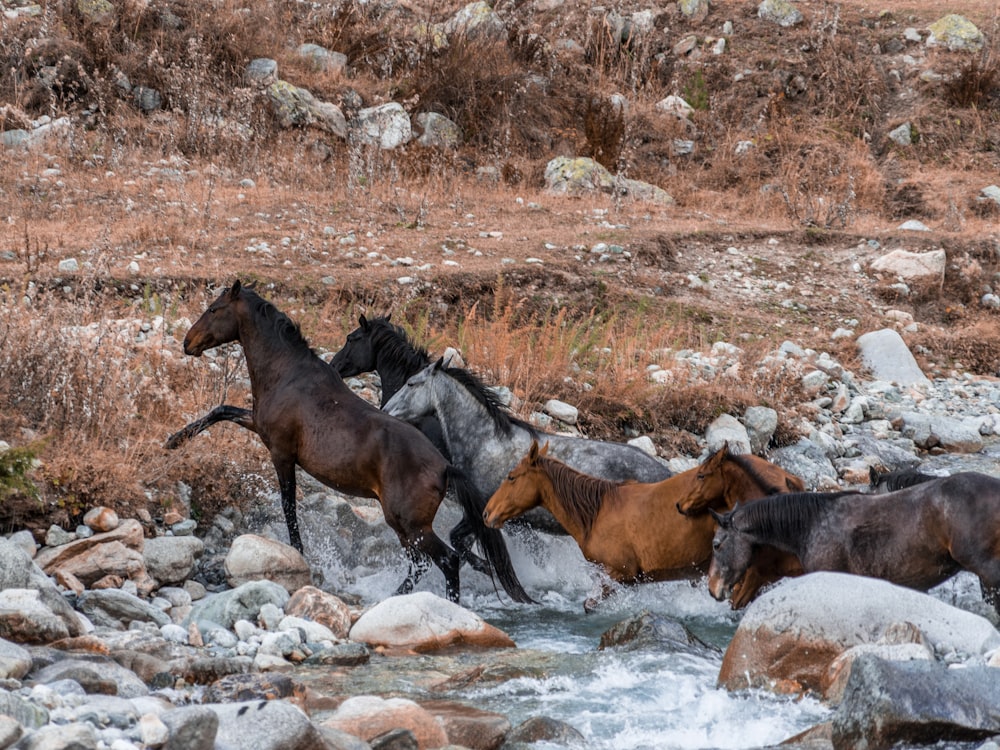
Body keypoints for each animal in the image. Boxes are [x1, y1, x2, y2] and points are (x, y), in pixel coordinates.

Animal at [176, 282, 536, 604]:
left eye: (214, 309)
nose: (187, 343)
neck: (287, 374)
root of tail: (445, 466)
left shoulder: (281, 453)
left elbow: (289, 507)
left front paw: (299, 553)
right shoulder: (258, 427)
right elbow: (221, 410)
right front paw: (174, 440)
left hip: (409, 524)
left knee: (447, 560)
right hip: (405, 527)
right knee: (422, 564)